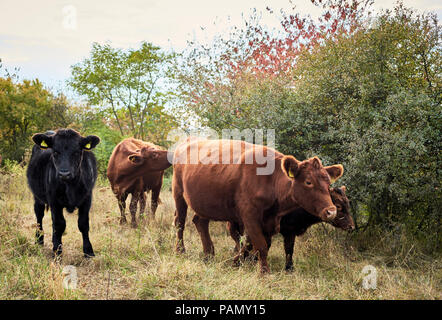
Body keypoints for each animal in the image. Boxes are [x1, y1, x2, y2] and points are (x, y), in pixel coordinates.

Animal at [171, 139, 344, 274]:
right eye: (308, 182)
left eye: (328, 184)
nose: (331, 211)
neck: (270, 180)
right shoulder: (250, 216)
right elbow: (261, 245)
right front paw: (263, 272)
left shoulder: (268, 220)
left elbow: (254, 243)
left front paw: (238, 262)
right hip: (178, 192)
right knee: (180, 222)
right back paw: (180, 250)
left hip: (204, 202)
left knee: (200, 221)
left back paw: (209, 253)